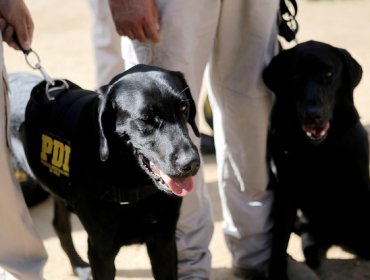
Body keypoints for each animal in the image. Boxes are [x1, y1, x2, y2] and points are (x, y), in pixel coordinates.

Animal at [19, 64, 199, 278]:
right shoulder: (100, 252)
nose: (191, 163)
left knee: (60, 226)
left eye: (183, 107)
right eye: (146, 118)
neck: (131, 179)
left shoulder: (164, 240)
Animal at [264, 40, 370, 278]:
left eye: (329, 74)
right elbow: (279, 240)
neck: (318, 149)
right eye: (295, 76)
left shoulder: (360, 183)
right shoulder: (286, 191)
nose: (313, 115)